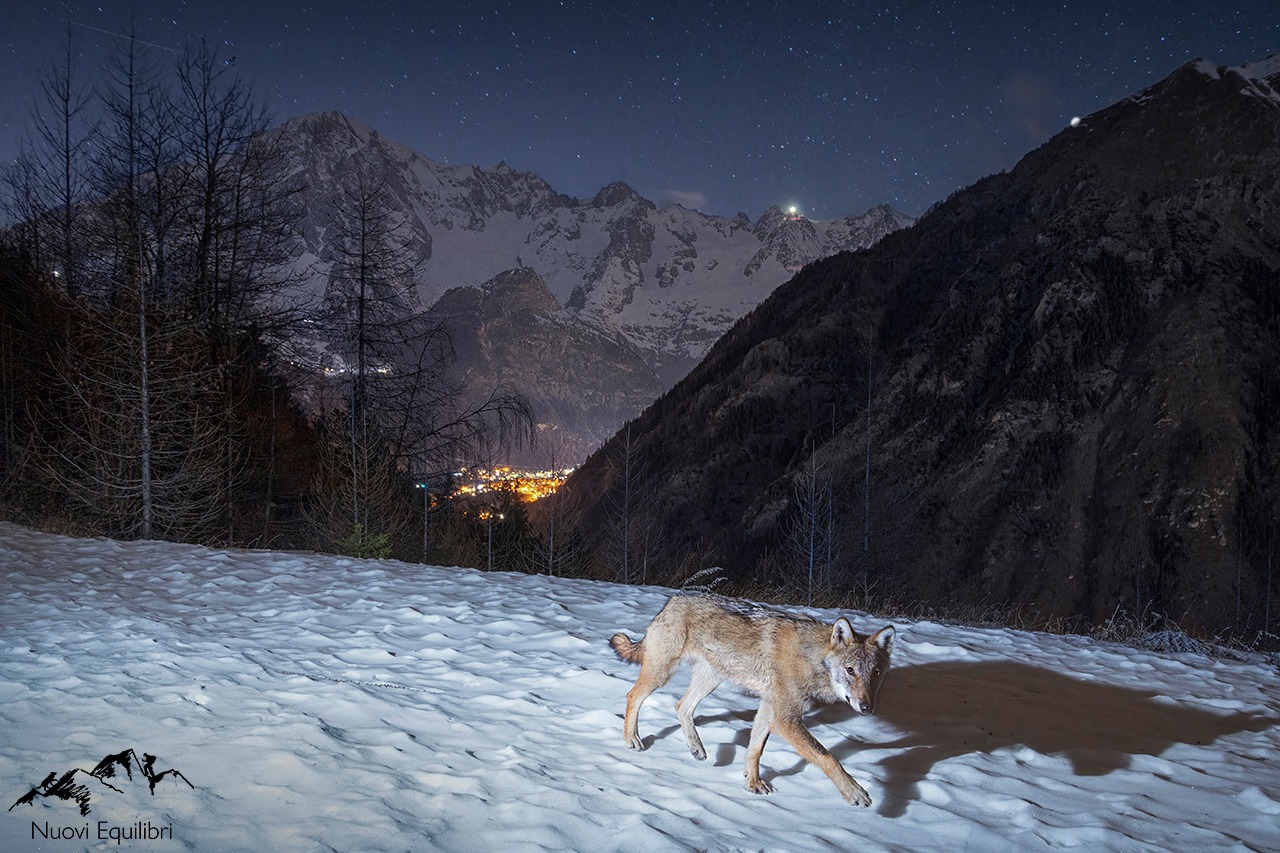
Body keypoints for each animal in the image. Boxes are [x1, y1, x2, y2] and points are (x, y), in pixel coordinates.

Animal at [606, 591, 890, 804]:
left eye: (875, 673)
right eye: (850, 670)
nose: (867, 708)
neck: (813, 658)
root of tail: (671, 601)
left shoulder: (769, 708)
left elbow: (755, 750)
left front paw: (752, 783)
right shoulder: (786, 718)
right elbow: (828, 757)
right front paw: (854, 792)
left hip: (710, 680)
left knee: (681, 706)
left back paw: (697, 748)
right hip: (663, 673)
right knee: (633, 695)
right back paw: (632, 739)